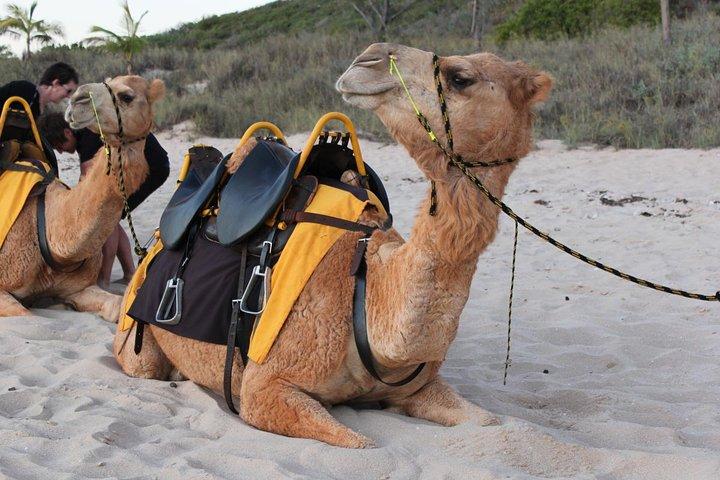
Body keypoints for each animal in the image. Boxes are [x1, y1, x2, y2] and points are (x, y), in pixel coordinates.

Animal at [113, 43, 552, 448]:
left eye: (460, 77)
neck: (368, 291)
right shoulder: (264, 386)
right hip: (135, 340)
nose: (369, 57)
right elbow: (365, 443)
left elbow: (490, 423)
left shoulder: (419, 387)